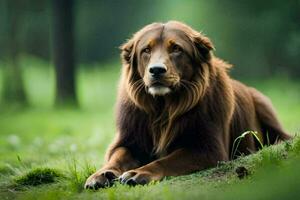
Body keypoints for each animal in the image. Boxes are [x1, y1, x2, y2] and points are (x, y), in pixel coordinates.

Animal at [84, 20, 290, 189]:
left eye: (176, 49)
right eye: (146, 50)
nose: (156, 70)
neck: (163, 108)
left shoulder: (209, 149)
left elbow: (166, 161)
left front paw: (138, 173)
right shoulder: (129, 139)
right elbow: (116, 158)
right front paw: (100, 175)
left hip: (263, 102)